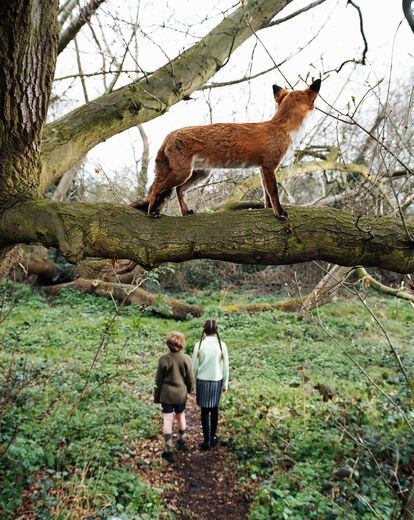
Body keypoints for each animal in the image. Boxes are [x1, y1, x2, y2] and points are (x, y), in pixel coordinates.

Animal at [134, 79, 322, 219]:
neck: (282, 128)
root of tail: (169, 135)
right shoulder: (269, 165)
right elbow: (274, 192)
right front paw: (279, 213)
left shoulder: (262, 168)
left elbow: (266, 195)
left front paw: (268, 210)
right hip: (181, 173)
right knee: (157, 188)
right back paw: (151, 212)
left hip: (199, 174)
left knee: (179, 190)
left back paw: (185, 212)